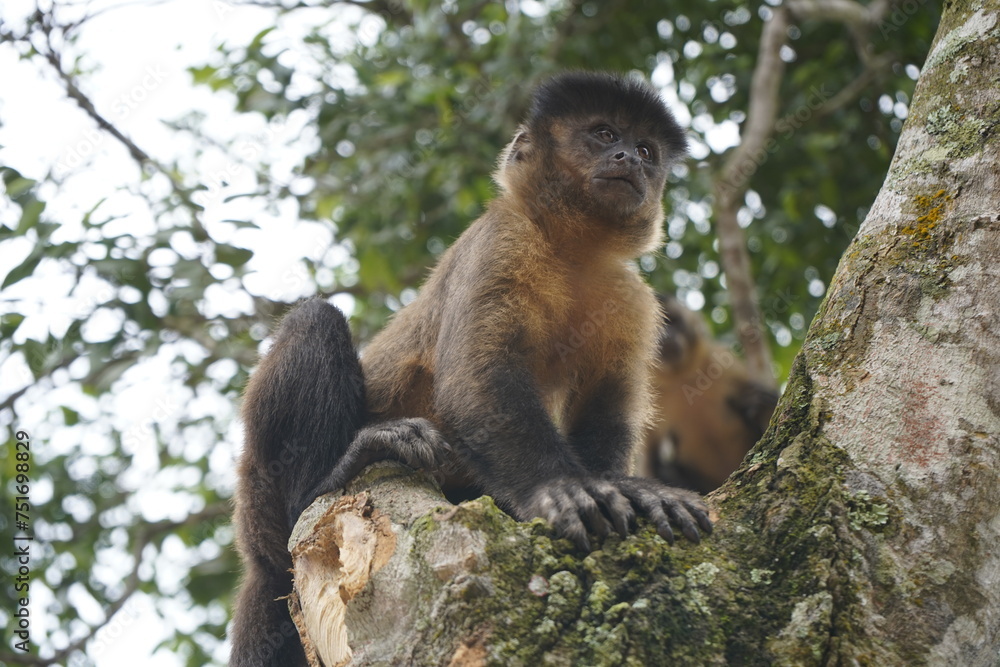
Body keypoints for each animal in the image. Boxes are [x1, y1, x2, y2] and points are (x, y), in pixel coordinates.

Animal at [230, 72, 712, 667]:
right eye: (603, 134)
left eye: (646, 150)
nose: (628, 158)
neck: (569, 250)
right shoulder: (502, 240)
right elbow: (475, 383)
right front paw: (559, 489)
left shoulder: (630, 296)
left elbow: (607, 411)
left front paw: (630, 491)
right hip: (260, 500)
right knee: (315, 322)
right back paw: (330, 476)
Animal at [638, 292, 778, 493]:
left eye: (670, 321)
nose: (665, 335)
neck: (681, 378)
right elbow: (651, 461)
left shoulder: (723, 362)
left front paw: (759, 406)